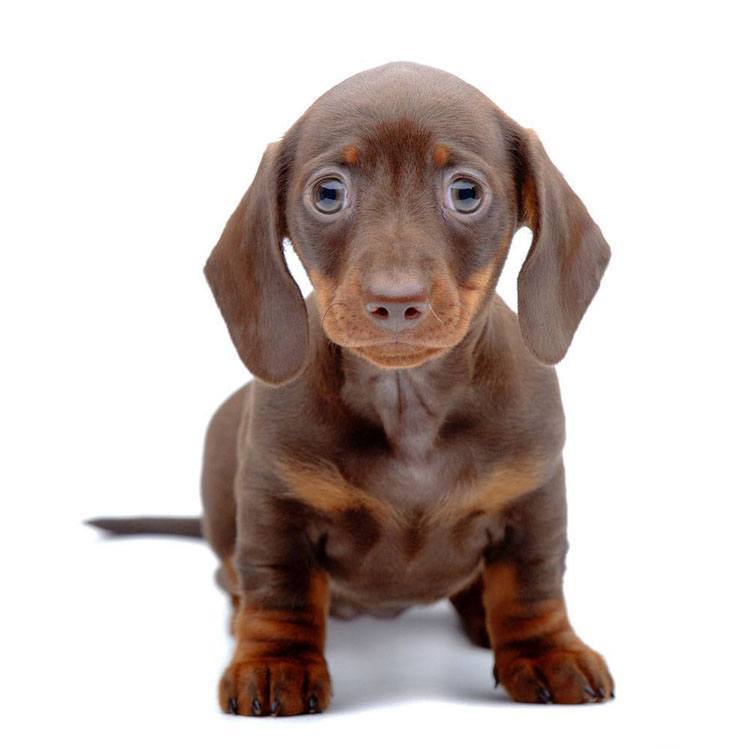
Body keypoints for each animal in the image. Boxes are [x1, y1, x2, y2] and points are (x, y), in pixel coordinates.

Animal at [94, 61, 612, 716]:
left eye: (466, 193)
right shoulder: (275, 503)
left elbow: (531, 585)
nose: (395, 301)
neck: (407, 400)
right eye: (328, 193)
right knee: (232, 576)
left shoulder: (534, 498)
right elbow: (280, 588)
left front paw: (546, 652)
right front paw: (276, 664)